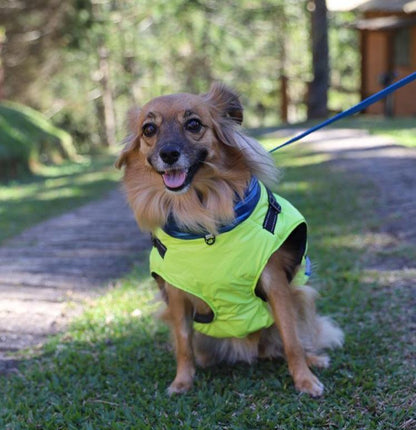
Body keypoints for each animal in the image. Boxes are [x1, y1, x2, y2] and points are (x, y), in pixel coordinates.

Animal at [115, 83, 342, 396]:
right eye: (149, 129)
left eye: (193, 124)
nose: (169, 153)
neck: (202, 219)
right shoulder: (176, 295)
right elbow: (183, 344)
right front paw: (182, 382)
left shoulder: (275, 283)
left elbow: (292, 340)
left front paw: (304, 380)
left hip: (301, 296)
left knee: (292, 339)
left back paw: (313, 358)